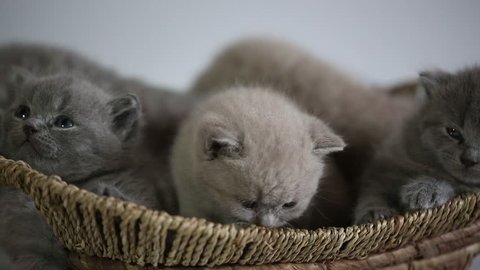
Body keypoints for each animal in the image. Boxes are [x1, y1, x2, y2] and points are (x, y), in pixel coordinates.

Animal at [354, 66, 480, 223]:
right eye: (453, 132)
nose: (469, 160)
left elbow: (457, 184)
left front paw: (424, 190)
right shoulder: (385, 163)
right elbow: (373, 190)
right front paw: (374, 213)